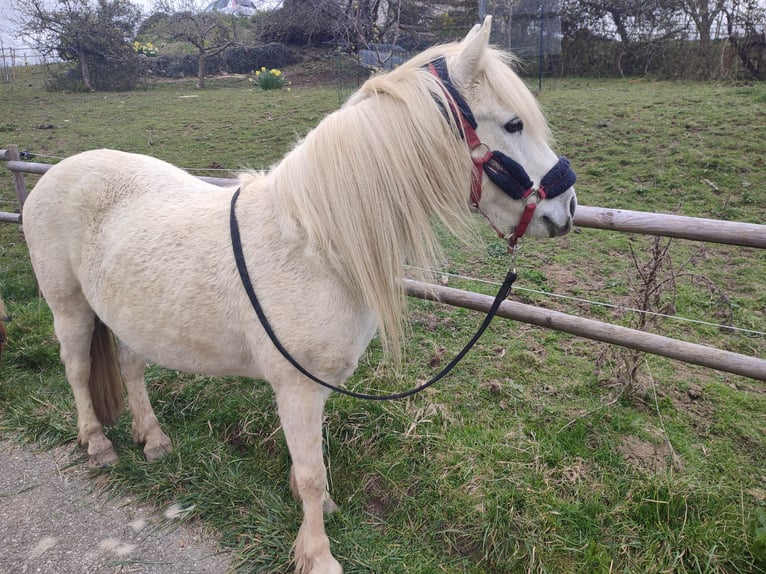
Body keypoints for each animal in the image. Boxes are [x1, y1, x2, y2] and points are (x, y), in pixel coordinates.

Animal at [22, 17, 576, 573]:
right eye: (513, 125)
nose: (567, 208)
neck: (315, 245)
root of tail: (55, 173)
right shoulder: (297, 387)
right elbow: (310, 471)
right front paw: (318, 553)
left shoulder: (318, 384)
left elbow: (312, 459)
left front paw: (320, 508)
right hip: (69, 308)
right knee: (77, 370)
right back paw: (97, 445)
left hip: (131, 316)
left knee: (132, 367)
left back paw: (153, 439)